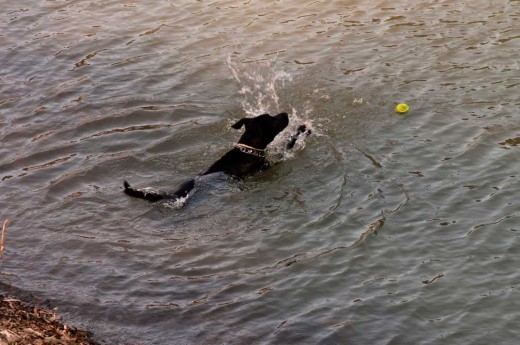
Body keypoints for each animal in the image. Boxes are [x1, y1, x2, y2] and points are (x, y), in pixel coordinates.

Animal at [123, 112, 308, 202]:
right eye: (272, 119)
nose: (285, 113)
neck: (247, 150)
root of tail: (174, 194)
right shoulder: (268, 166)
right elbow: (285, 150)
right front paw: (298, 136)